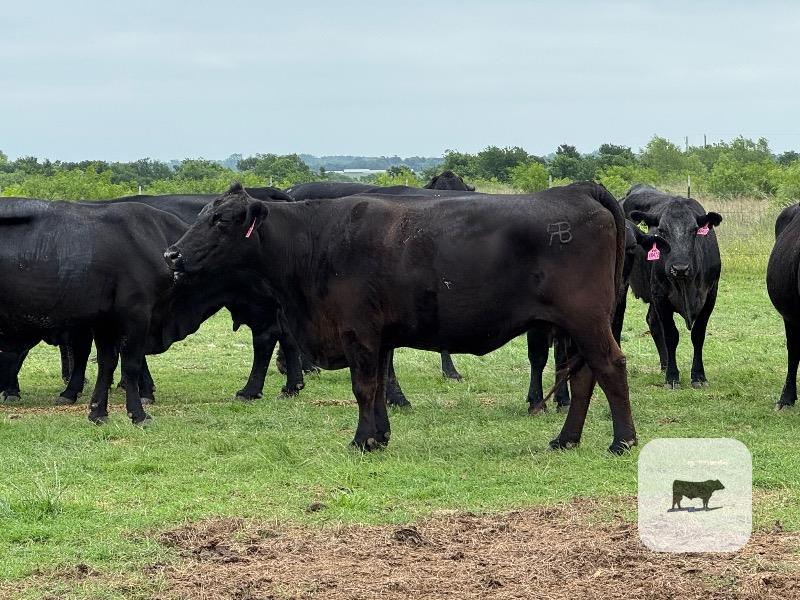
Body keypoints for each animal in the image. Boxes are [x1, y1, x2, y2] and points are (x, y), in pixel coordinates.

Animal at [166, 181, 637, 453]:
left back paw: (622, 440)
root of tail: (577, 191)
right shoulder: (380, 336)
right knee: (585, 376)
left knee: (610, 368)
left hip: (587, 320)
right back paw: (566, 439)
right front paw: (380, 435)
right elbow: (377, 388)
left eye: (222, 220)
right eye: (204, 214)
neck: (316, 239)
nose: (172, 254)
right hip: (574, 327)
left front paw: (361, 440)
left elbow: (363, 387)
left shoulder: (358, 331)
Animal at [621, 185, 722, 389]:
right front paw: (672, 377)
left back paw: (665, 363)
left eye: (694, 230)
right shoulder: (661, 296)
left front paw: (698, 376)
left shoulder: (710, 295)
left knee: (652, 321)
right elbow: (671, 335)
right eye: (661, 230)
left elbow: (698, 335)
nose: (680, 268)